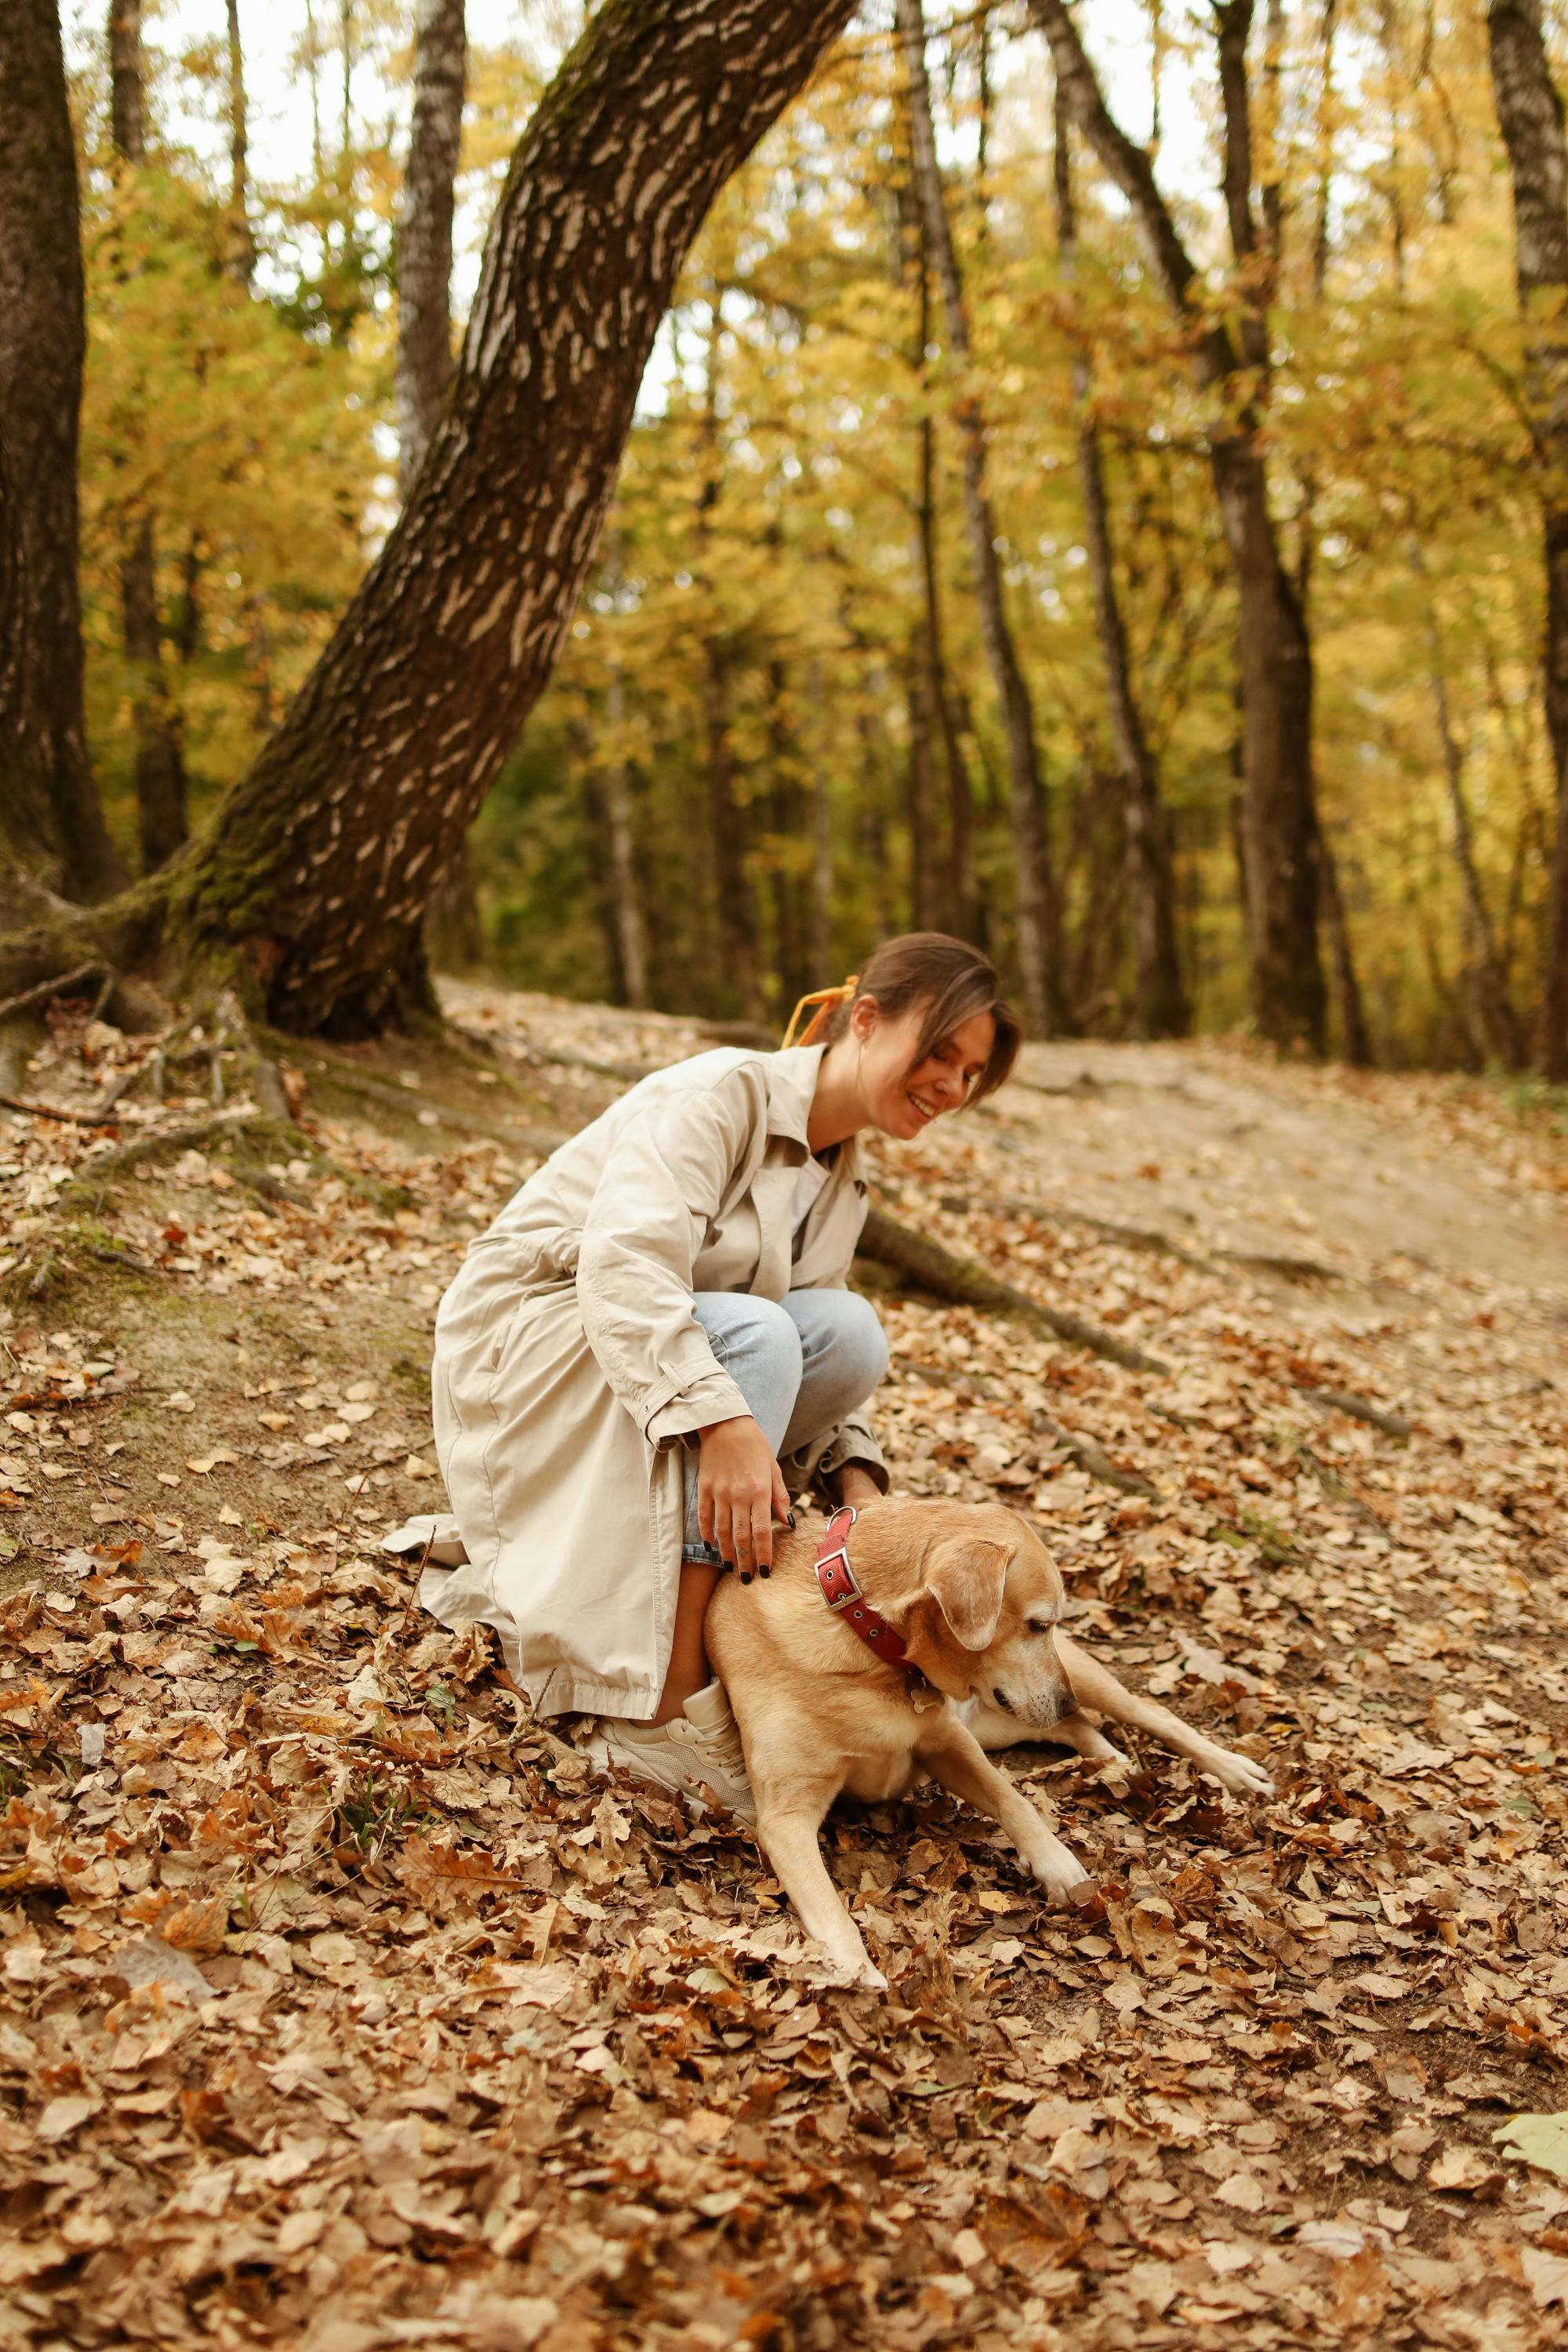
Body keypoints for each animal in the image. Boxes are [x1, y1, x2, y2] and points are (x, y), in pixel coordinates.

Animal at [705, 1496, 1269, 1976]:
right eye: (1038, 1623)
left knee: (1151, 1714)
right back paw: (1112, 1762)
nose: (1064, 1697)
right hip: (1008, 1721)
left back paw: (1235, 1770)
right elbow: (828, 1908)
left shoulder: (947, 1741)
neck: (864, 1639)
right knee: (1075, 1728)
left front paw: (1059, 1865)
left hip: (1073, 1684)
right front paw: (857, 1973)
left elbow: (1013, 1800)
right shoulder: (786, 1817)